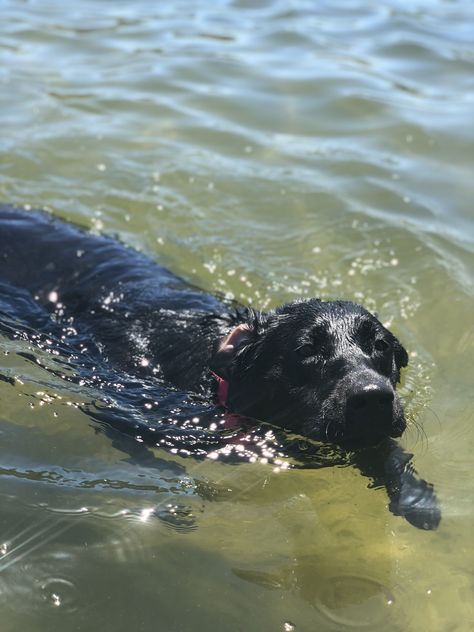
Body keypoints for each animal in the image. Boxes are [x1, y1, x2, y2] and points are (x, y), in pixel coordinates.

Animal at [0, 207, 438, 528]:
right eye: (305, 350)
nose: (373, 397)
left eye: (380, 347)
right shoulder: (121, 410)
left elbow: (389, 453)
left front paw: (417, 498)